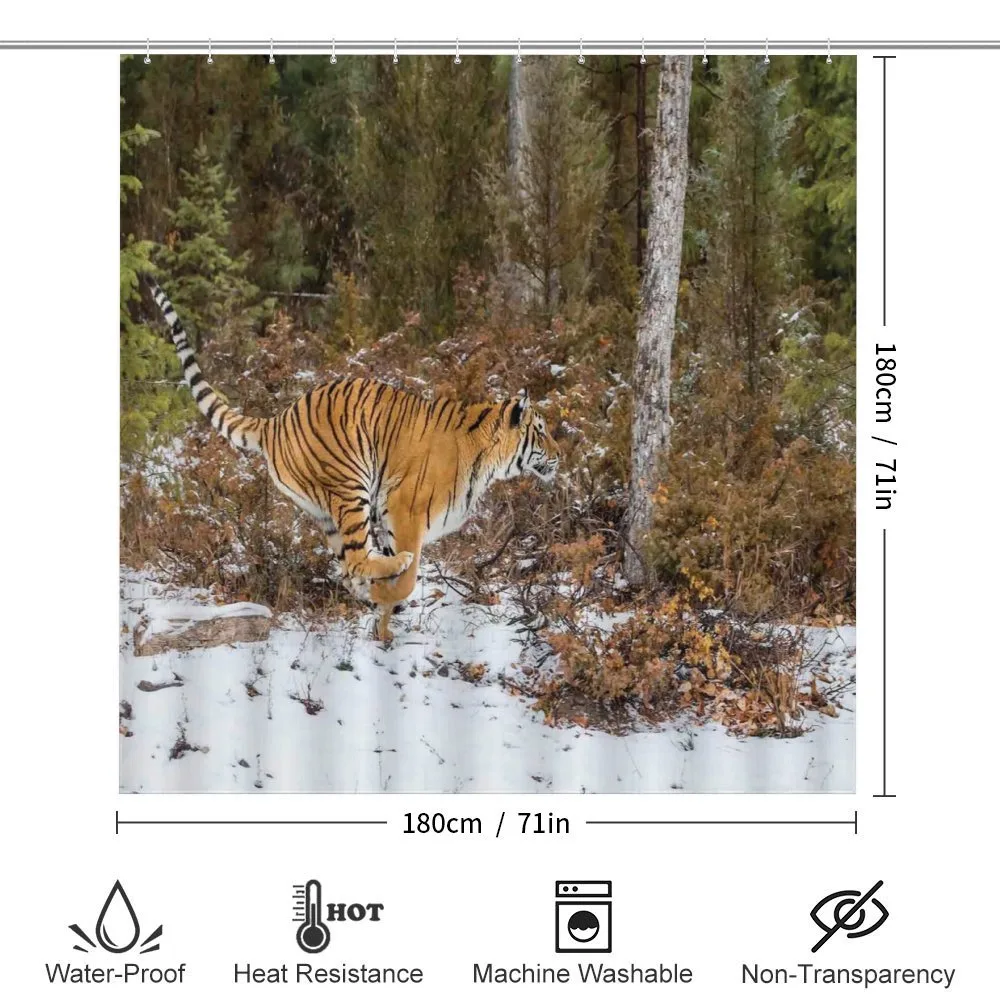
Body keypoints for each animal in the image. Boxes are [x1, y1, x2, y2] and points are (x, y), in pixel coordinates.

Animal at [147, 279, 560, 641]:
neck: (488, 457)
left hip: (327, 512)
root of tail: (276, 420)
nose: (560, 454)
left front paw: (384, 625)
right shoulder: (404, 510)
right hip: (350, 486)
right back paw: (389, 574)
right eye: (541, 430)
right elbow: (407, 576)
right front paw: (390, 601)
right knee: (359, 562)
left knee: (349, 565)